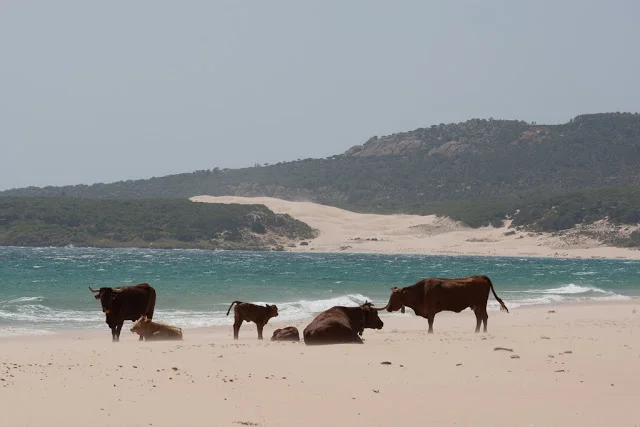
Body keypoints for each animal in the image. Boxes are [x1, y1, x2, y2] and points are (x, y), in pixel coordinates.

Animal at [379, 275, 508, 333]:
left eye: (394, 297)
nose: (388, 307)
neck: (421, 291)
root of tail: (480, 276)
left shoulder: (431, 310)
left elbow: (430, 322)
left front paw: (430, 332)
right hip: (475, 305)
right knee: (479, 317)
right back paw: (477, 332)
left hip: (481, 303)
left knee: (484, 317)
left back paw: (483, 332)